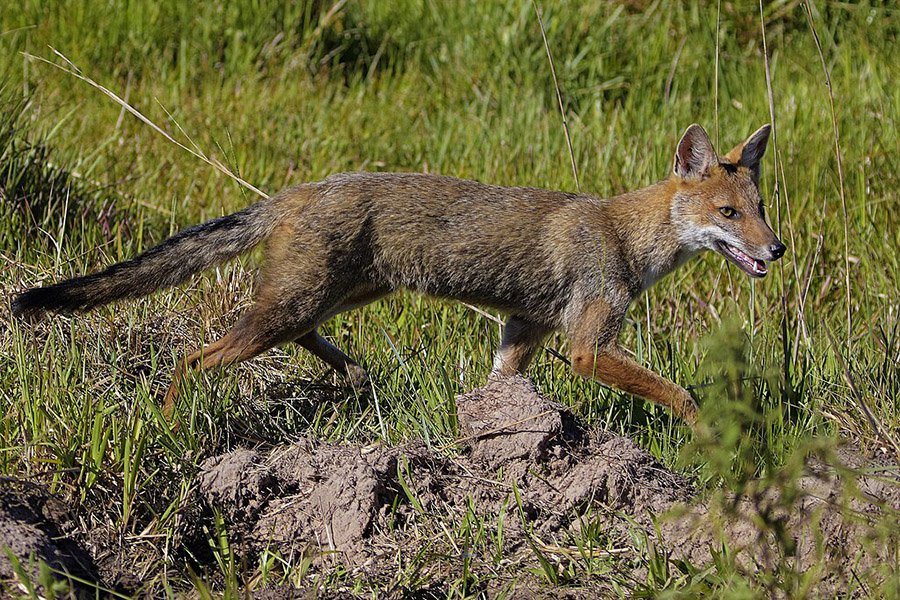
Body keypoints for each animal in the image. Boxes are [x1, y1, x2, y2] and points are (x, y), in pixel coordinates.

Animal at [10, 122, 780, 424]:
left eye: (762, 209)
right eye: (728, 213)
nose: (775, 252)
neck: (624, 237)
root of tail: (303, 188)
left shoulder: (521, 334)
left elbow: (498, 388)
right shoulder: (587, 346)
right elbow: (679, 392)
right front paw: (707, 437)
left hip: (334, 298)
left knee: (304, 339)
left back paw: (353, 372)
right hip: (294, 306)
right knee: (194, 360)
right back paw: (170, 423)